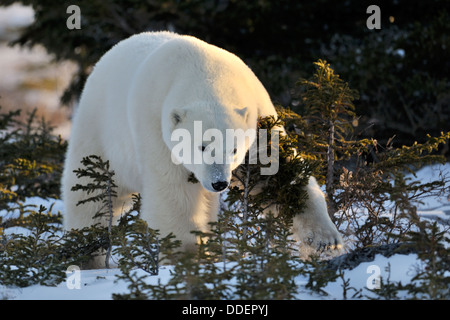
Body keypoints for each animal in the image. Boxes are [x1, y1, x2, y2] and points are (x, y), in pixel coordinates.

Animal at [59, 31, 342, 266]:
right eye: (201, 146)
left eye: (234, 149)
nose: (219, 183)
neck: (204, 71)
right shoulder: (155, 129)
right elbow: (173, 195)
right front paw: (188, 258)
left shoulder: (260, 119)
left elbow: (276, 174)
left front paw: (326, 239)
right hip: (99, 132)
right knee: (90, 194)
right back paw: (86, 256)